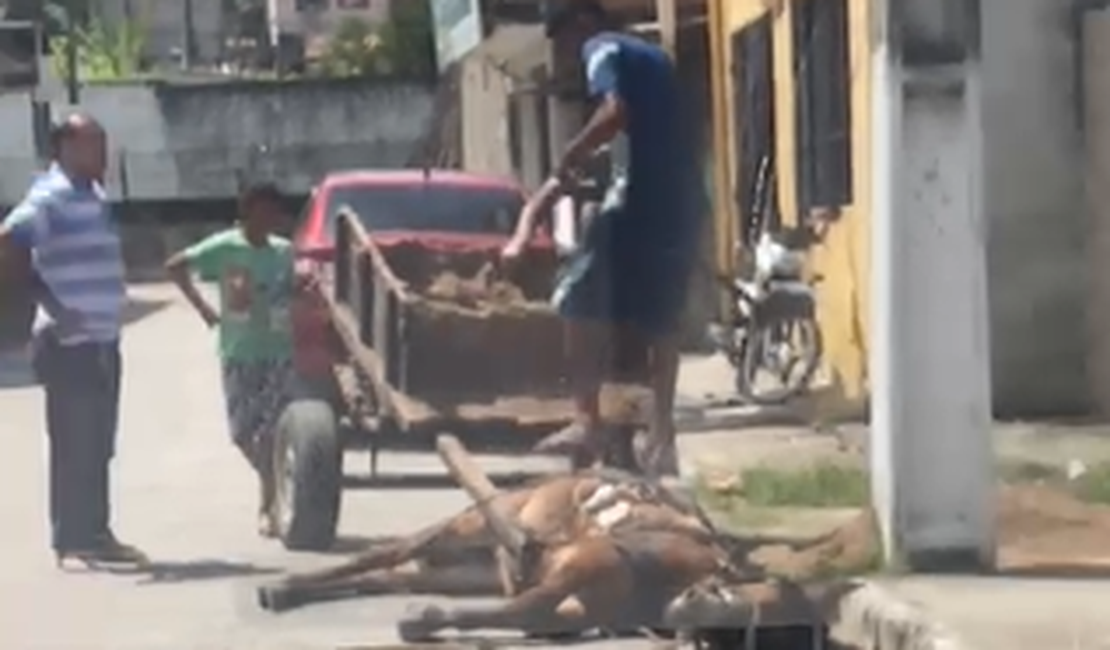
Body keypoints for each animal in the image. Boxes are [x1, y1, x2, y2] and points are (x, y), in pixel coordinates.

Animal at [257, 432, 839, 638]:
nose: (697, 607)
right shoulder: (590, 561)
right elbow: (524, 608)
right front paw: (425, 622)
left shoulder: (582, 602)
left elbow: (532, 615)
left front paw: (431, 618)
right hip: (464, 527)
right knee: (383, 554)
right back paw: (282, 587)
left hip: (465, 570)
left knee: (389, 575)